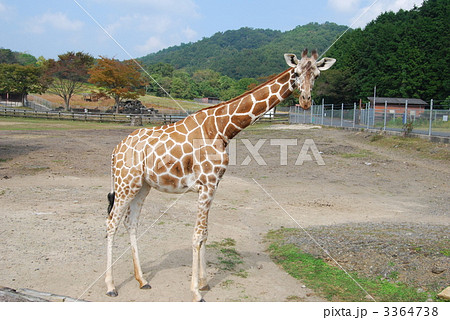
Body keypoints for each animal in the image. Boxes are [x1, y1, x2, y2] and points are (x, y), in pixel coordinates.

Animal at [104, 48, 334, 302]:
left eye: (316, 75)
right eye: (296, 73)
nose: (305, 101)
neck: (223, 128)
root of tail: (115, 150)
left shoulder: (213, 185)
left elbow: (205, 233)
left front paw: (204, 283)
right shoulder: (206, 184)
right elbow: (196, 235)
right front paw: (196, 292)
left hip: (141, 185)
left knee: (131, 223)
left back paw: (142, 280)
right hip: (125, 183)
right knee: (111, 223)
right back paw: (111, 286)